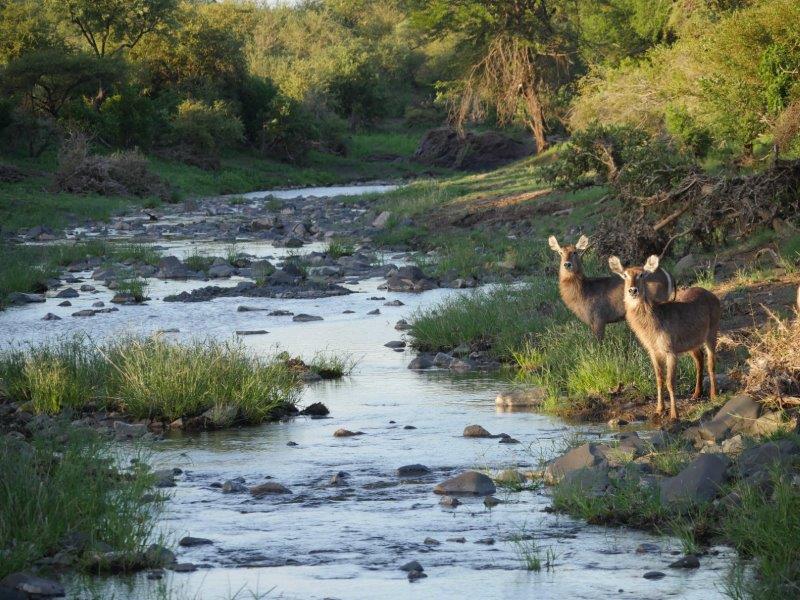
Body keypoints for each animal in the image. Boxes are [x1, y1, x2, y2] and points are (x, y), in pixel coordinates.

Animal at [544, 234, 676, 340]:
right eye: (560, 252)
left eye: (575, 252)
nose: (567, 264)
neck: (583, 291)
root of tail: (669, 276)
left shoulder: (598, 317)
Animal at [608, 255, 720, 420]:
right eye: (625, 275)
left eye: (642, 274)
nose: (632, 290)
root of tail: (713, 296)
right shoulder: (653, 351)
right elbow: (659, 380)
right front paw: (659, 409)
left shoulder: (670, 351)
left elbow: (670, 382)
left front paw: (674, 414)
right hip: (692, 342)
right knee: (699, 359)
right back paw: (696, 394)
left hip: (712, 333)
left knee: (711, 362)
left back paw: (714, 395)